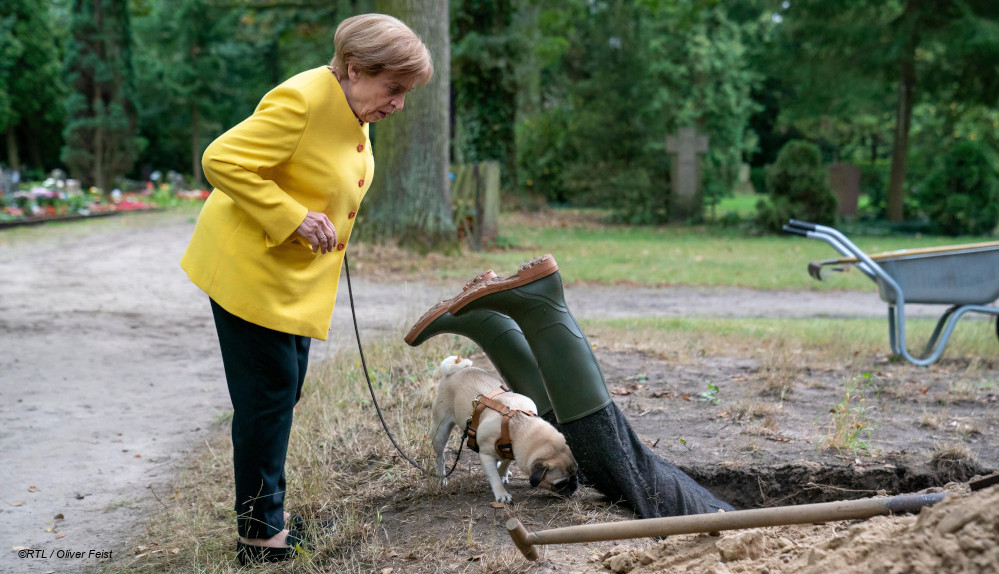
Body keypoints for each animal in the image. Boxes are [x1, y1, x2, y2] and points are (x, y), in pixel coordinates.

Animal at [430, 356, 580, 504]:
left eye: (576, 474)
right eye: (560, 484)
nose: (575, 486)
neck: (518, 424)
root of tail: (458, 370)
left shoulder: (513, 450)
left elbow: (506, 462)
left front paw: (502, 472)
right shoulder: (486, 455)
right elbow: (494, 477)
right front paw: (501, 493)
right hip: (441, 431)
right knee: (440, 457)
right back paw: (442, 478)